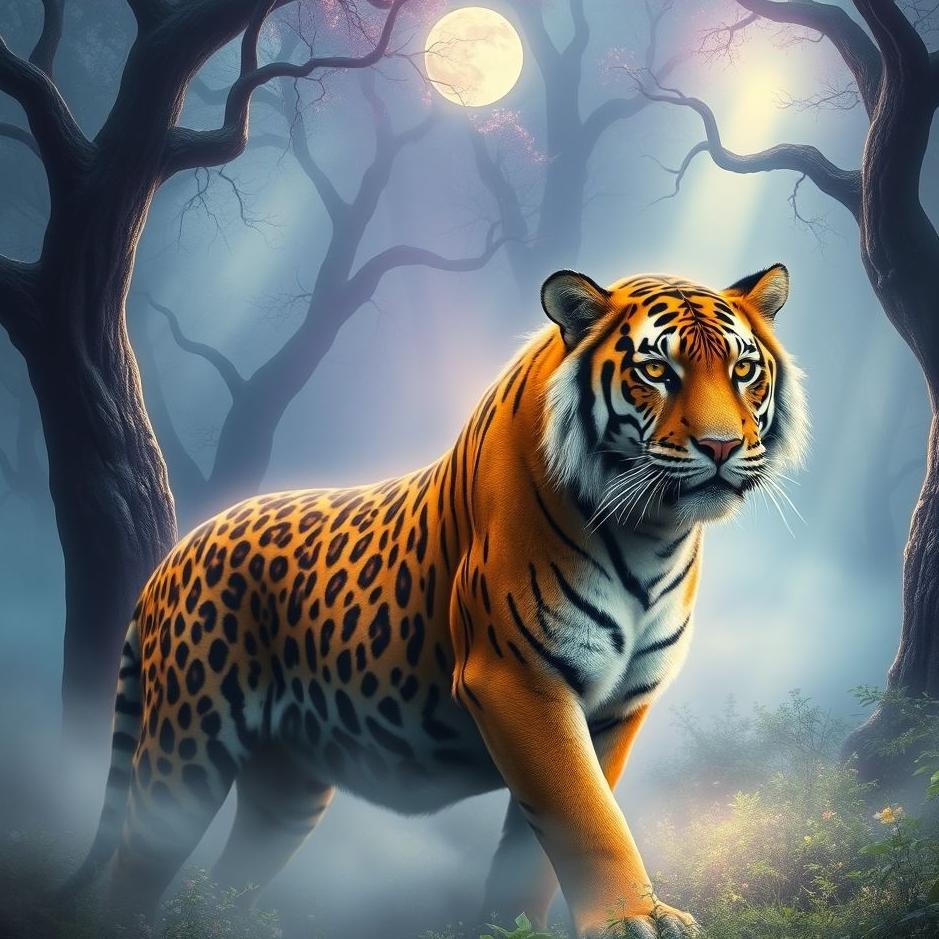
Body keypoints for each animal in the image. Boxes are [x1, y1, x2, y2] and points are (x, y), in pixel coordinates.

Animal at [72, 264, 807, 938]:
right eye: (656, 370)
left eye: (743, 369)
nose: (721, 447)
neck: (654, 535)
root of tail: (174, 555)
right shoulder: (515, 677)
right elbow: (586, 814)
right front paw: (633, 920)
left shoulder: (617, 705)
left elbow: (539, 843)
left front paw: (517, 925)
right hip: (184, 749)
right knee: (130, 869)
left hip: (287, 789)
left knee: (227, 883)